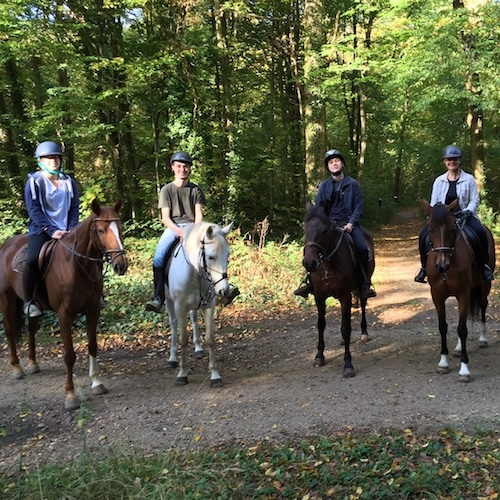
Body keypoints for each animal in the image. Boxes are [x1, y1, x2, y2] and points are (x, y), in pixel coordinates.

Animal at [0, 199, 128, 410]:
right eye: (101, 230)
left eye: (121, 228)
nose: (121, 265)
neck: (76, 264)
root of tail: (7, 245)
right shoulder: (64, 315)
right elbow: (69, 355)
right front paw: (70, 395)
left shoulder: (93, 311)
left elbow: (93, 346)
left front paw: (96, 383)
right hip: (7, 298)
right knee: (10, 329)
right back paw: (17, 367)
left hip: (37, 306)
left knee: (31, 328)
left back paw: (33, 363)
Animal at [300, 201, 376, 376]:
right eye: (305, 229)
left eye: (325, 231)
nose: (310, 263)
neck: (327, 266)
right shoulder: (319, 296)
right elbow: (321, 325)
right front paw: (319, 356)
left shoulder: (345, 296)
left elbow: (346, 328)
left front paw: (348, 364)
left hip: (360, 288)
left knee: (362, 305)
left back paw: (364, 333)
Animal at [422, 199, 496, 382]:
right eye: (430, 230)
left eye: (452, 229)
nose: (442, 266)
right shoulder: (437, 295)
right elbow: (443, 326)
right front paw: (443, 363)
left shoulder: (464, 293)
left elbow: (463, 329)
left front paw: (464, 369)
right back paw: (457, 347)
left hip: (484, 286)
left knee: (483, 306)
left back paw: (483, 339)